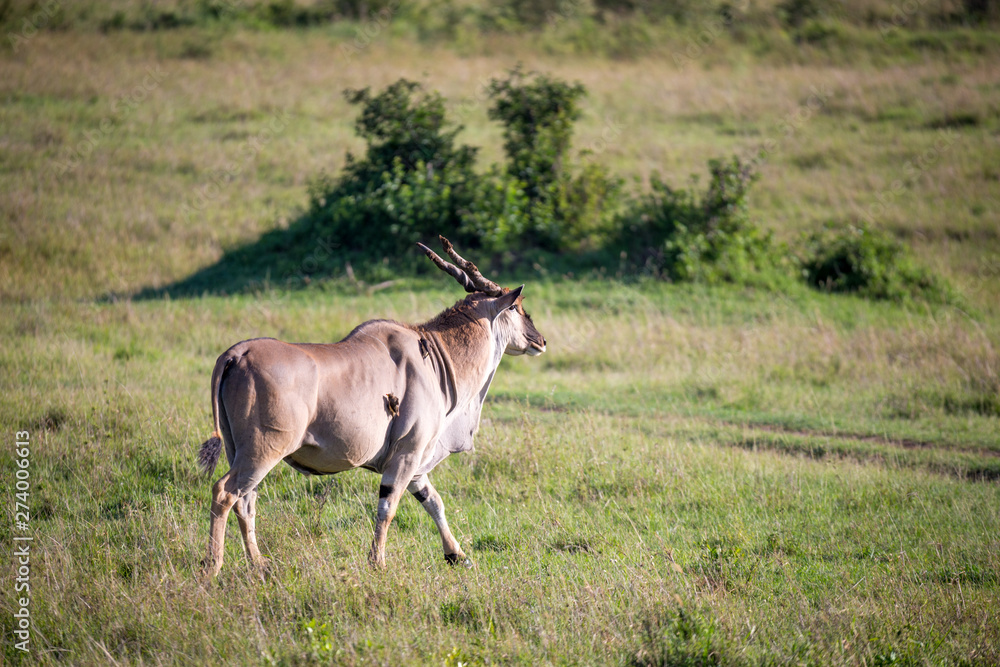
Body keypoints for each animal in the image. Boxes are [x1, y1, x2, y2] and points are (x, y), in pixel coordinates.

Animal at [197, 236, 546, 579]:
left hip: (241, 452)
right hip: (263, 451)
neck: (433, 353)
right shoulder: (407, 454)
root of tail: (237, 353)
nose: (540, 340)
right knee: (225, 493)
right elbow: (388, 508)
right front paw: (377, 563)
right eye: (516, 307)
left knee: (245, 501)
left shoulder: (415, 465)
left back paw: (259, 564)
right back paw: (214, 565)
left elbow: (434, 502)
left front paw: (457, 555)